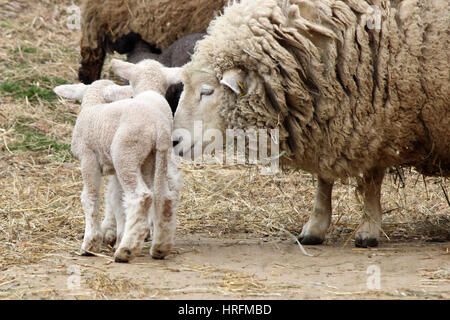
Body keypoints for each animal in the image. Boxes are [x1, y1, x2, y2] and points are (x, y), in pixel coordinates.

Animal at [54, 58, 183, 262]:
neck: (93, 104)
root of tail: (158, 128)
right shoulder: (118, 169)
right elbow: (115, 198)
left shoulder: (88, 158)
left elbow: (90, 197)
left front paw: (90, 244)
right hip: (155, 158)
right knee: (164, 197)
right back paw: (159, 247)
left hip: (125, 154)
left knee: (141, 197)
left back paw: (126, 249)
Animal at [173, 0, 450, 248]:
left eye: (207, 91)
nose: (174, 140)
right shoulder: (333, 118)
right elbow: (324, 178)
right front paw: (315, 226)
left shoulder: (381, 118)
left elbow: (372, 178)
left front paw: (369, 229)